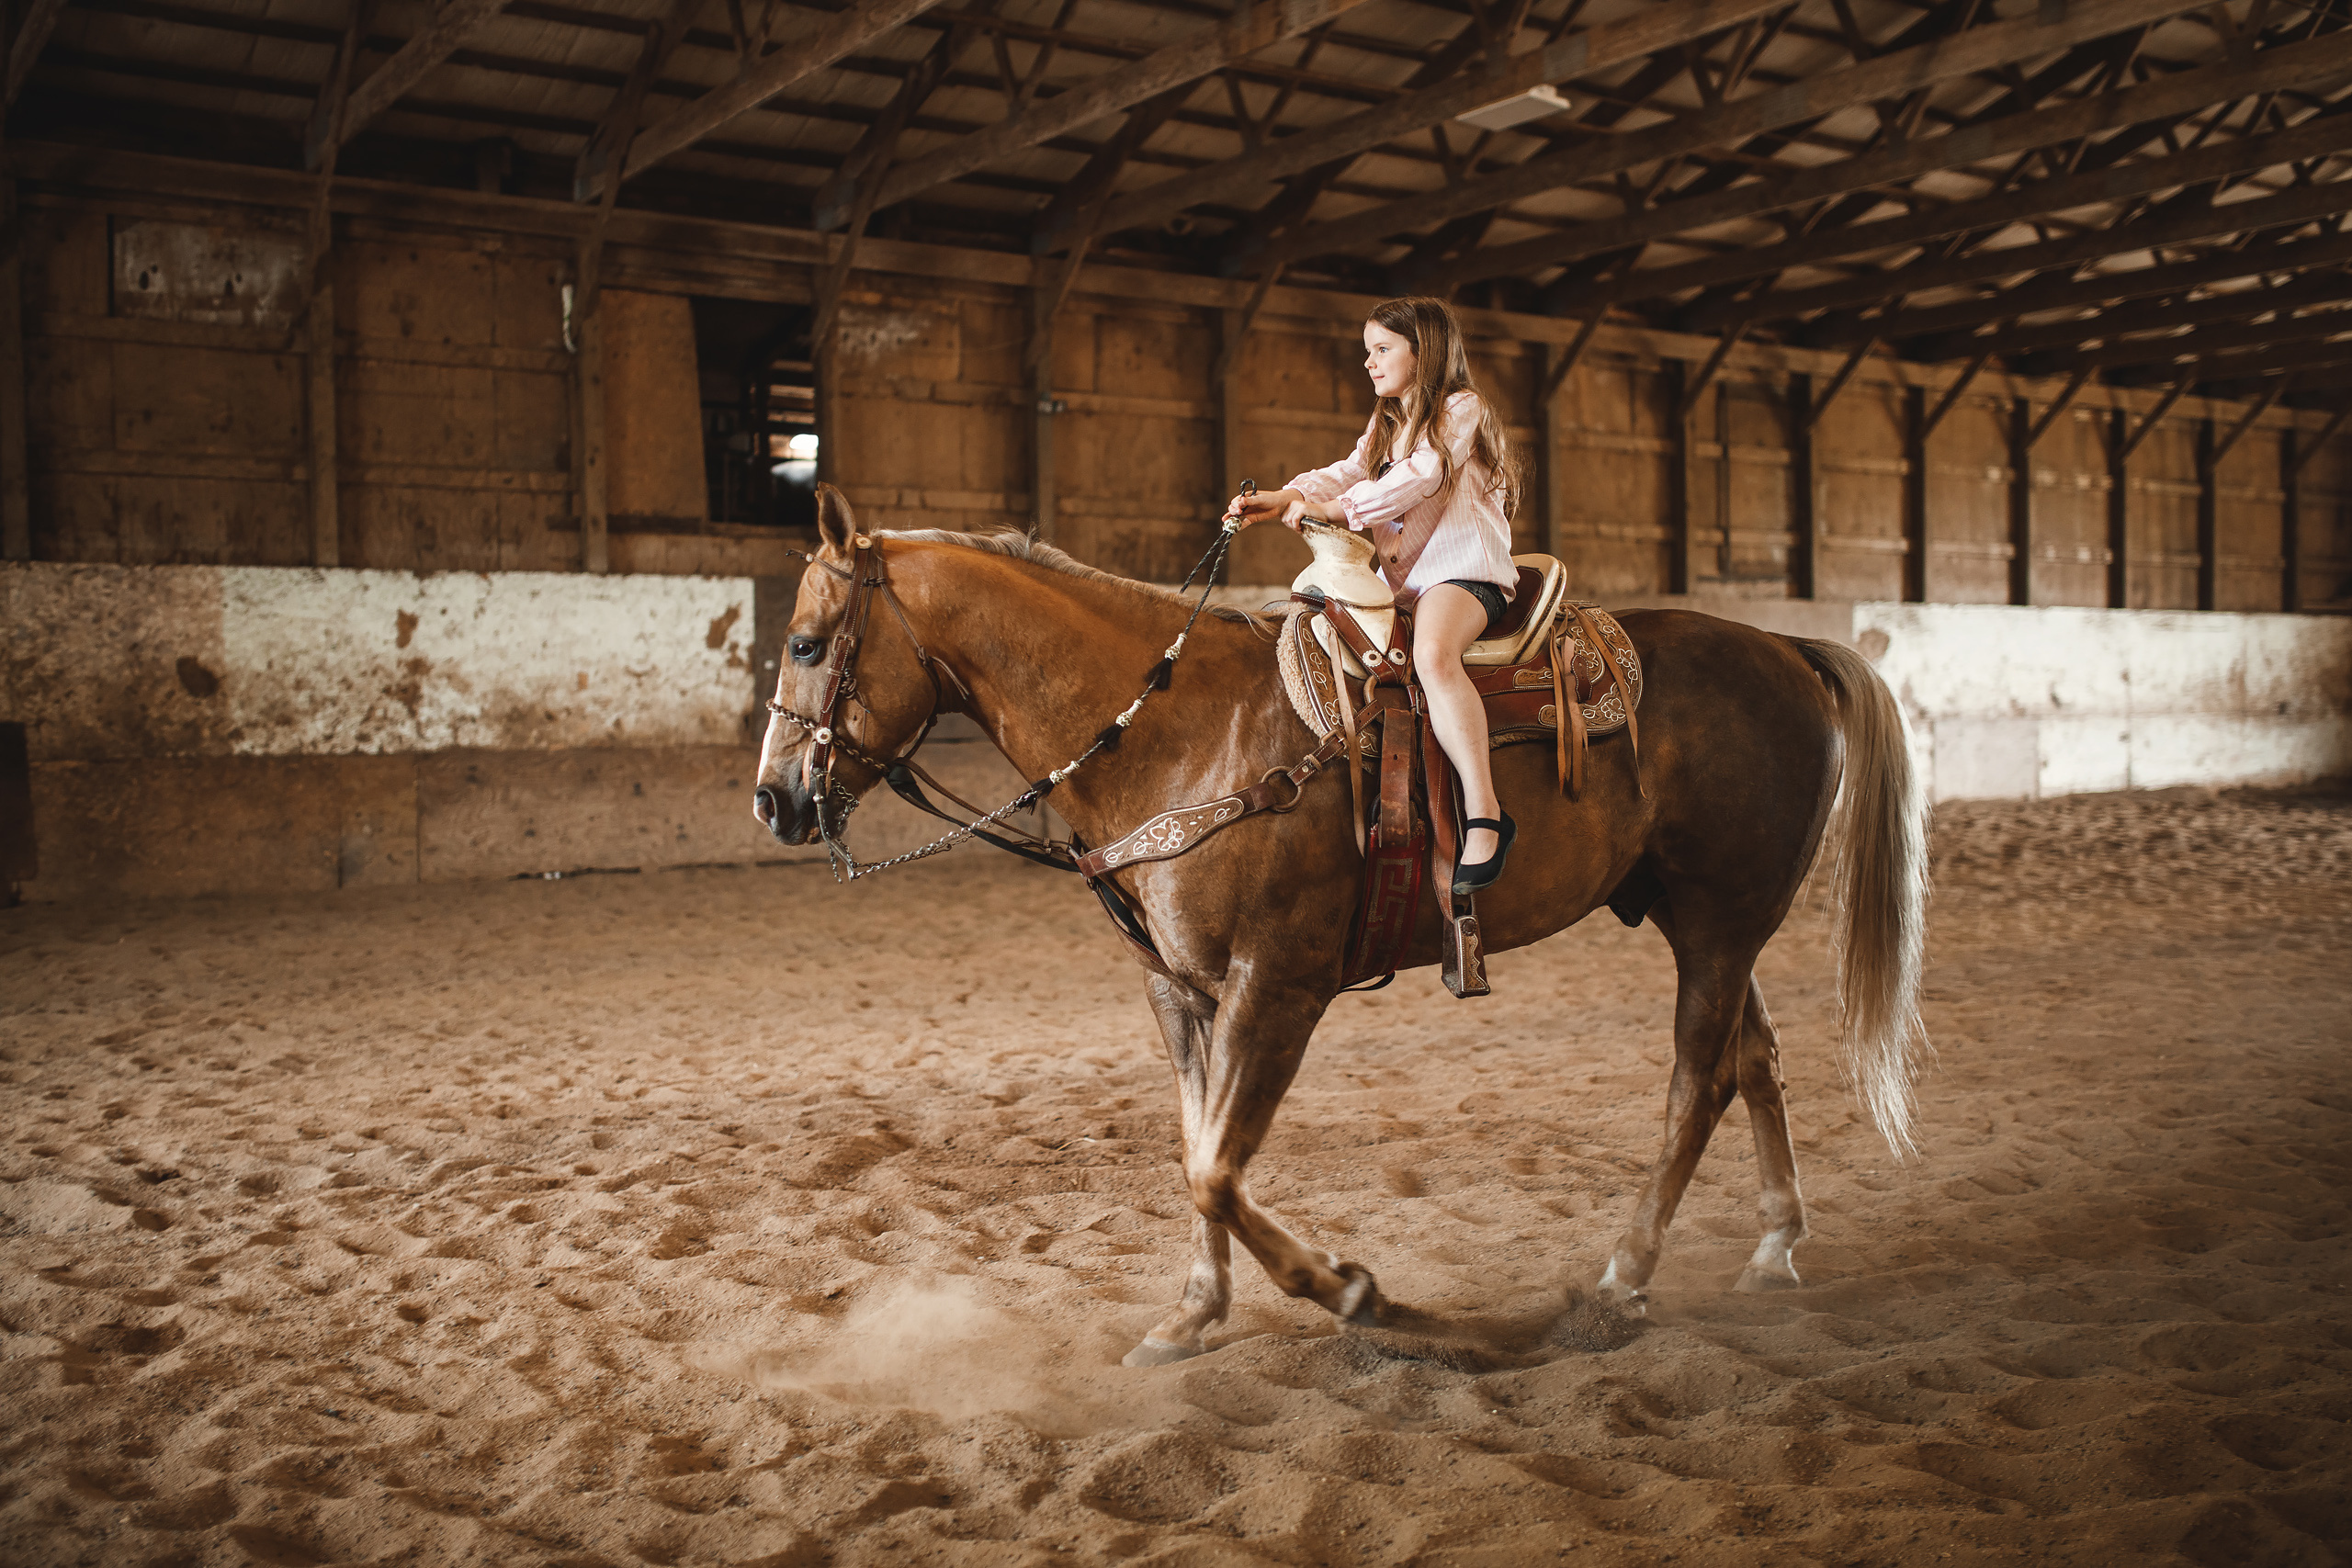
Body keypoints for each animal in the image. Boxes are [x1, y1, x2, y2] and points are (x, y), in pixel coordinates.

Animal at [753, 487, 1929, 1369]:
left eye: (807, 643)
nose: (774, 800)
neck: (1178, 731)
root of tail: (1784, 647)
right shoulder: (1177, 989)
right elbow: (1198, 1148)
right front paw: (1191, 1317)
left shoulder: (1277, 984)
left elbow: (1218, 1169)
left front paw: (1355, 1294)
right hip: (1702, 922)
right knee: (1755, 1059)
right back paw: (1772, 1248)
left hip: (1721, 923)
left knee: (1697, 1084)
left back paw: (1618, 1285)